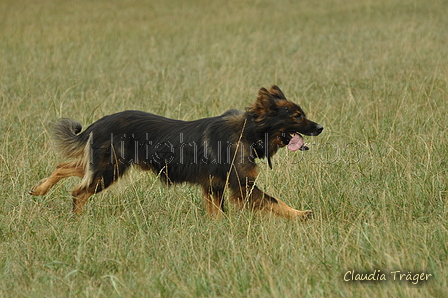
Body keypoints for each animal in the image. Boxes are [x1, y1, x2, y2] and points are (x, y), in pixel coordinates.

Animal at [30, 86, 322, 219]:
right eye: (297, 116)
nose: (320, 127)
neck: (248, 132)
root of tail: (99, 122)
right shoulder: (243, 186)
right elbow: (276, 202)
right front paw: (301, 215)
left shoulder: (214, 187)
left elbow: (218, 213)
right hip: (108, 169)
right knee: (78, 191)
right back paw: (78, 219)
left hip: (102, 165)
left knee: (64, 167)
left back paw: (39, 189)